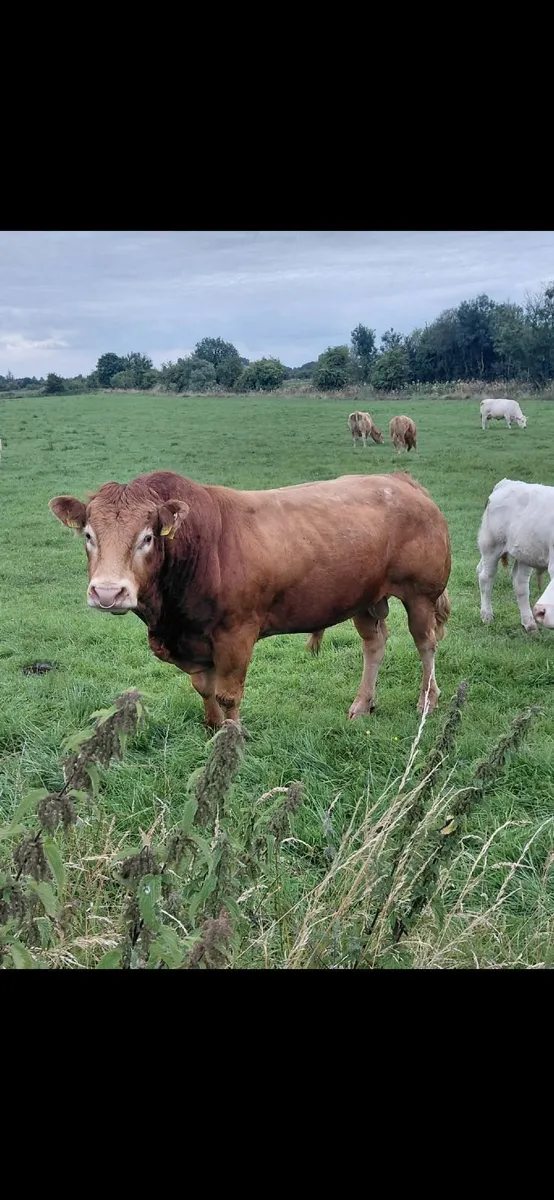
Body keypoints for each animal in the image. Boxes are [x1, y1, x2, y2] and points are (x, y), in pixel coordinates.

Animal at [49, 470, 451, 728]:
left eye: (147, 537)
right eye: (88, 534)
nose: (107, 592)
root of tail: (400, 480)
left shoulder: (236, 633)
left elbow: (229, 694)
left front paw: (232, 736)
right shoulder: (195, 640)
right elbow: (203, 688)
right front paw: (212, 728)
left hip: (421, 594)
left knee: (426, 643)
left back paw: (427, 700)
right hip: (365, 597)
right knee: (374, 644)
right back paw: (362, 704)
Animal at [477, 478, 553, 632]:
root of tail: (506, 483)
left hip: (525, 552)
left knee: (520, 583)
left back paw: (529, 623)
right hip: (491, 545)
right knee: (486, 577)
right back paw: (487, 616)